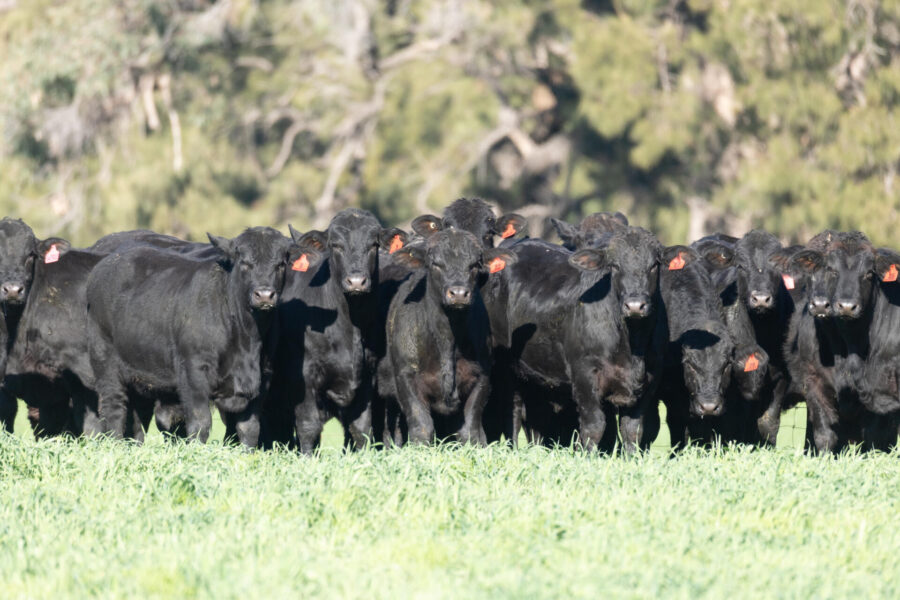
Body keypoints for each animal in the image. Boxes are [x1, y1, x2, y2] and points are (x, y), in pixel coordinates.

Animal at [86, 227, 304, 446]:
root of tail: (108, 262)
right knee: (113, 408)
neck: (247, 338)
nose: (265, 295)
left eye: (281, 264)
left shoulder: (263, 376)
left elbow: (249, 428)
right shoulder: (194, 371)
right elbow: (200, 423)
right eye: (244, 262)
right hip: (105, 363)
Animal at [263, 209, 407, 453]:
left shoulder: (366, 380)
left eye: (373, 244)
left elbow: (361, 429)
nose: (356, 281)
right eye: (336, 245)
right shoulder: (303, 378)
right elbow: (309, 428)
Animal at [380, 229, 515, 444]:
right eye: (435, 263)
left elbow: (471, 429)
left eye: (475, 264)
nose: (459, 293)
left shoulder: (482, 377)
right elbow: (422, 426)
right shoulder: (406, 377)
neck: (447, 340)